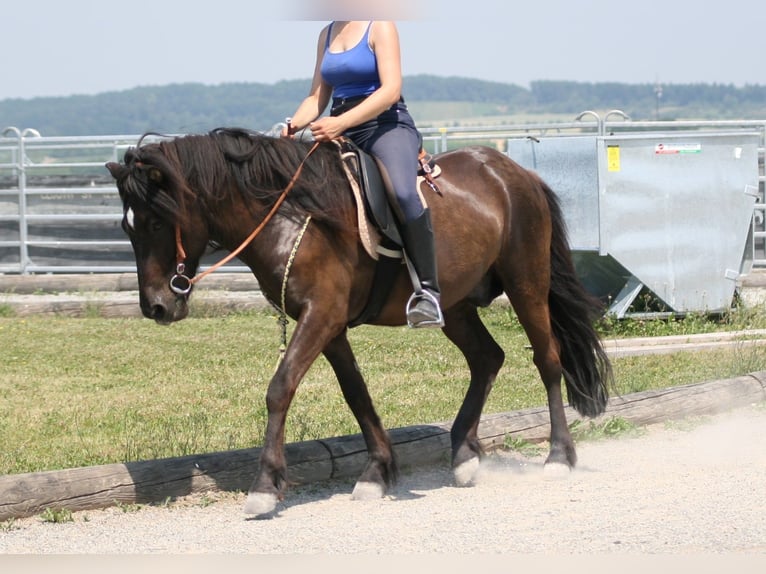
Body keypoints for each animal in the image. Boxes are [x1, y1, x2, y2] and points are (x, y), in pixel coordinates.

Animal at [106, 127, 612, 516]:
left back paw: (558, 457)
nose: (156, 307)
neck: (293, 216)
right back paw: (465, 455)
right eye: (128, 227)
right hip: (456, 305)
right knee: (488, 357)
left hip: (527, 283)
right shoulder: (327, 325)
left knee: (547, 360)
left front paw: (265, 487)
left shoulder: (321, 315)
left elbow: (279, 387)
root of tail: (514, 172)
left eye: (155, 222)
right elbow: (356, 393)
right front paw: (377, 472)